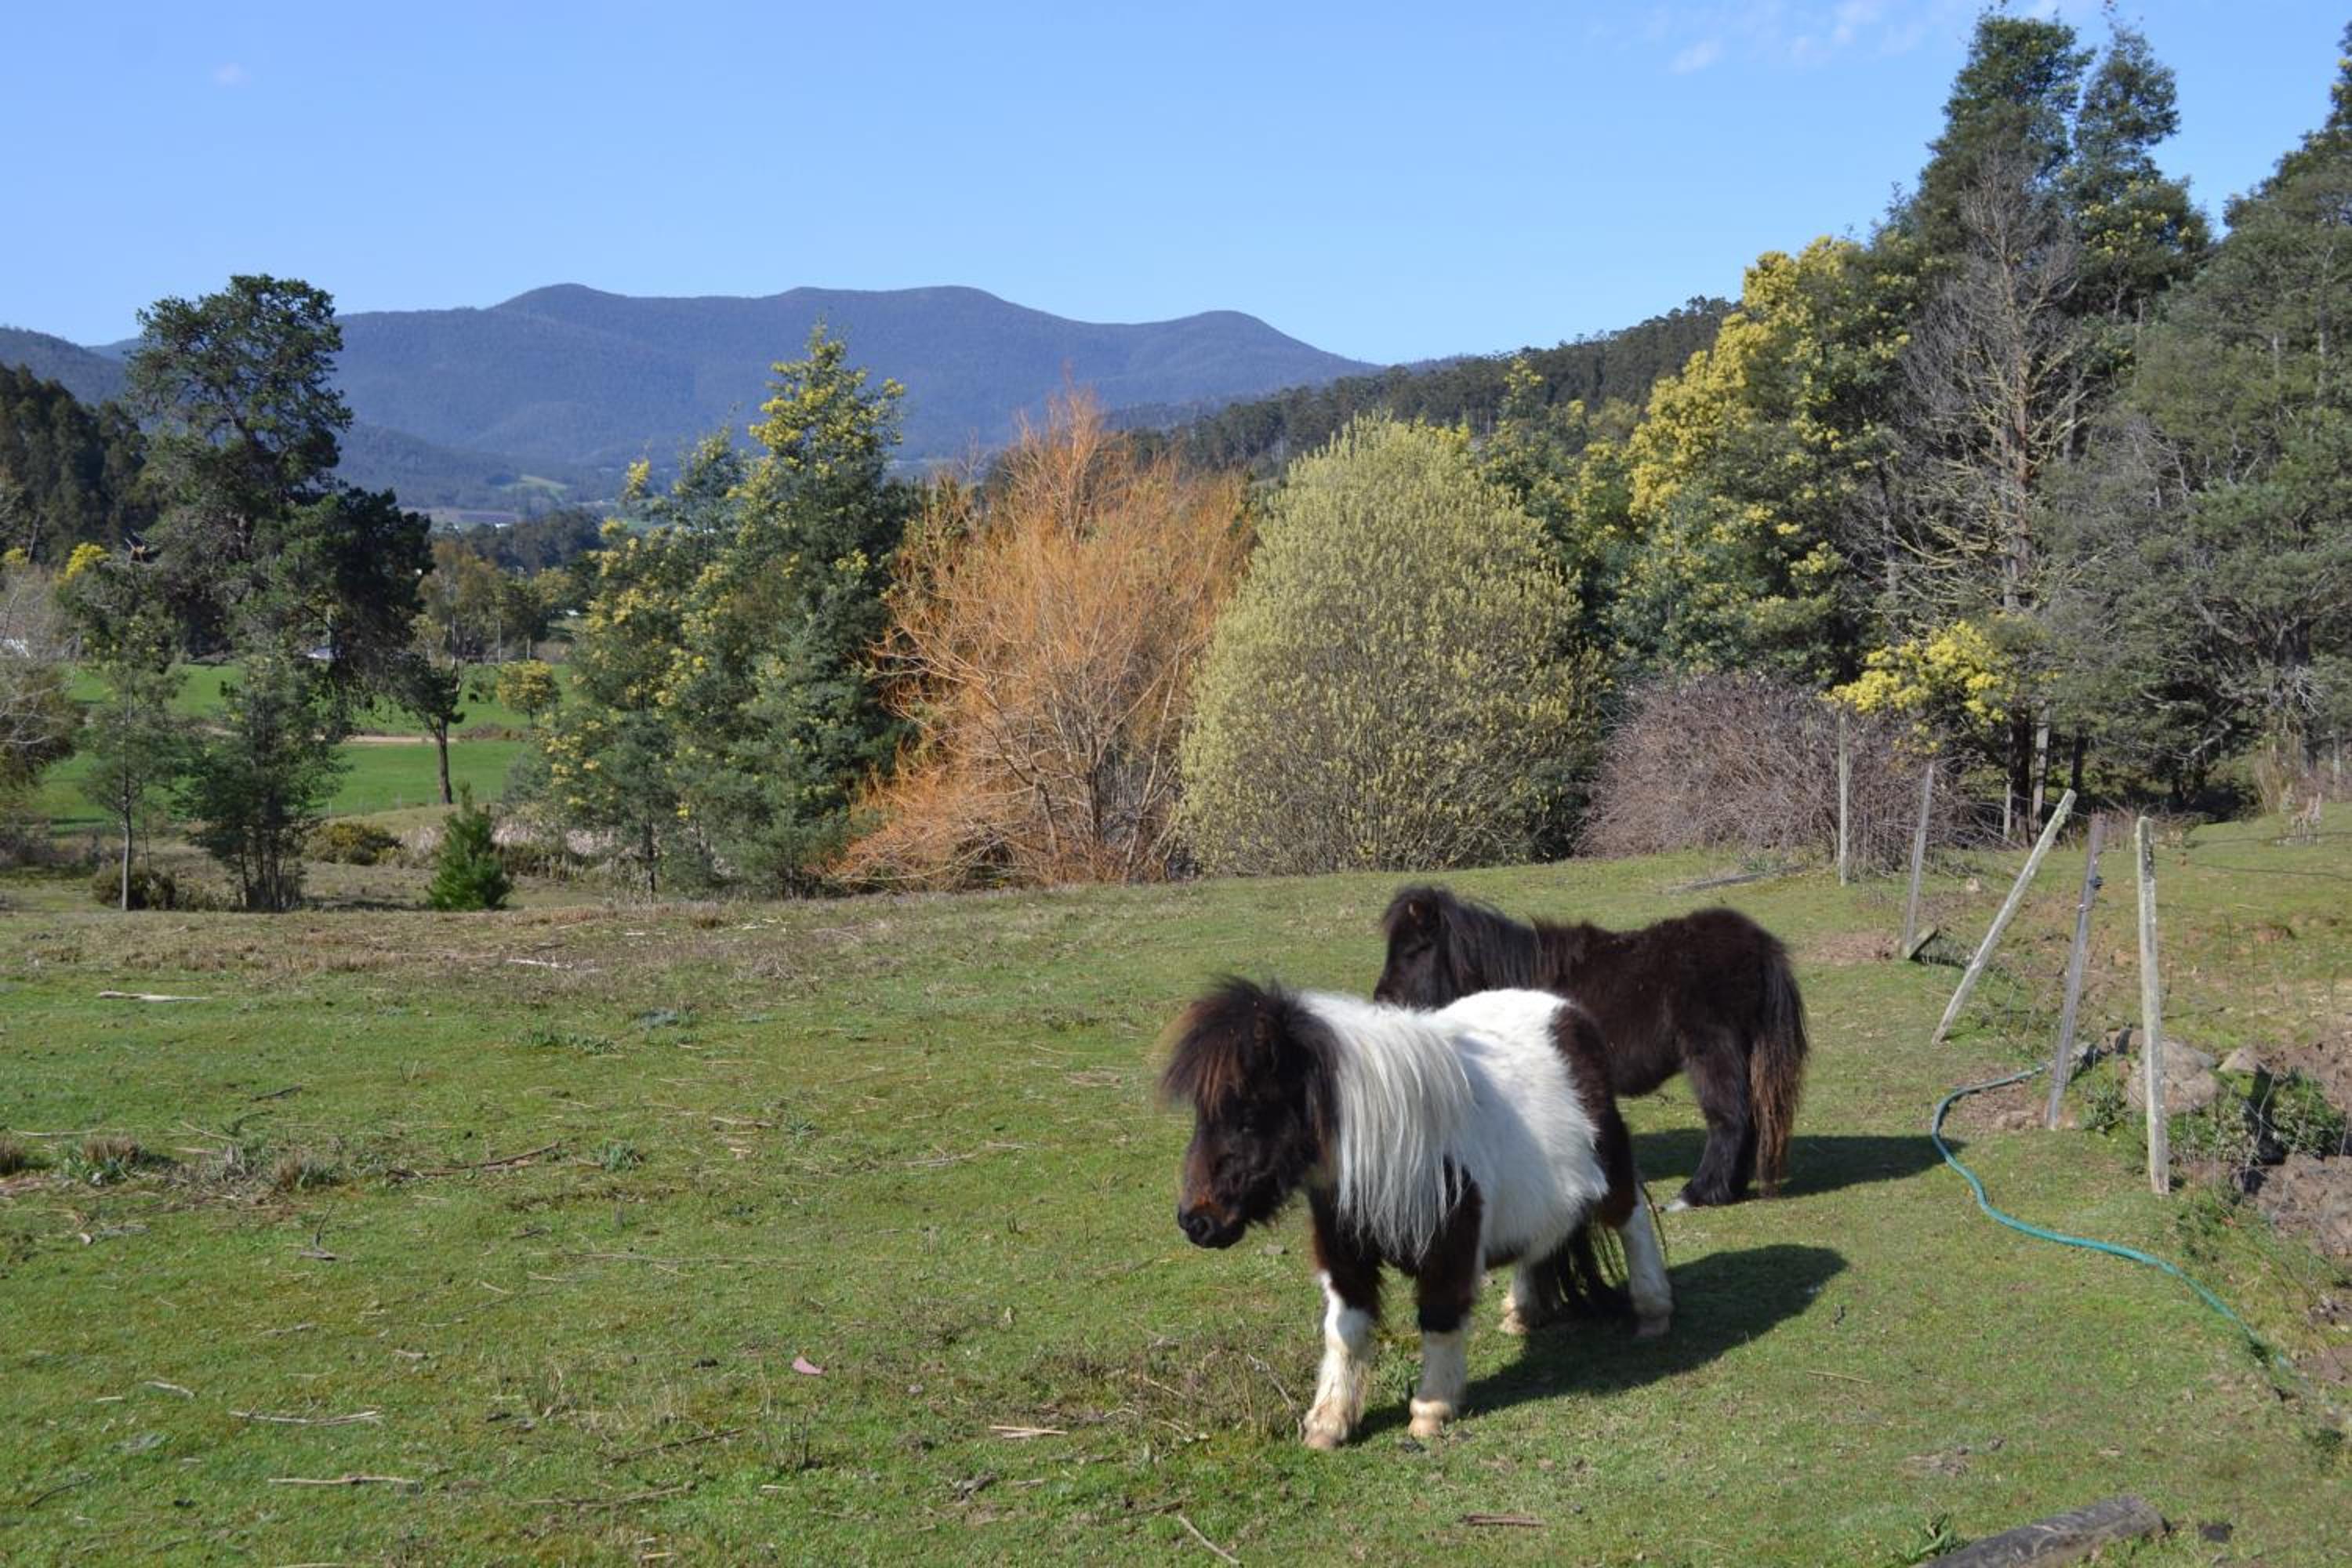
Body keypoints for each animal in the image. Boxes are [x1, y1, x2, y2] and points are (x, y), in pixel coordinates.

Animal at [1161, 978, 1670, 1450]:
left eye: (1247, 1117)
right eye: (1202, 1115)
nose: (1196, 1222)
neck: (1390, 1149)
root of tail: (1567, 1012)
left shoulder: (1449, 1253)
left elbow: (1439, 1320)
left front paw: (1431, 1410)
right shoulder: (1345, 1258)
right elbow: (1343, 1333)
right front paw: (1328, 1423)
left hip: (1612, 1171)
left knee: (1633, 1223)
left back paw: (1653, 1312)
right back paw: (1522, 1312)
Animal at [1374, 885, 1808, 1210]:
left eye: (1414, 951)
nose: (1381, 1001)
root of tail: (1758, 944)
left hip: (1713, 1052)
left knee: (1730, 1119)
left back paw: (1699, 1194)